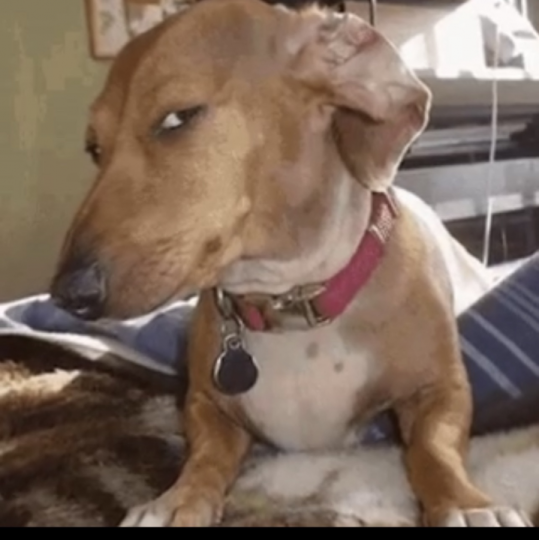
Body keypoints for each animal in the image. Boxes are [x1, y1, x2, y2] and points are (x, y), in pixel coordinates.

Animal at [49, 0, 531, 527]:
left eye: (177, 118)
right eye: (94, 148)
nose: (68, 293)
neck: (289, 300)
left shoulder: (441, 391)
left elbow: (432, 448)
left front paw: (464, 503)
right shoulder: (202, 404)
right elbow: (206, 456)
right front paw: (178, 498)